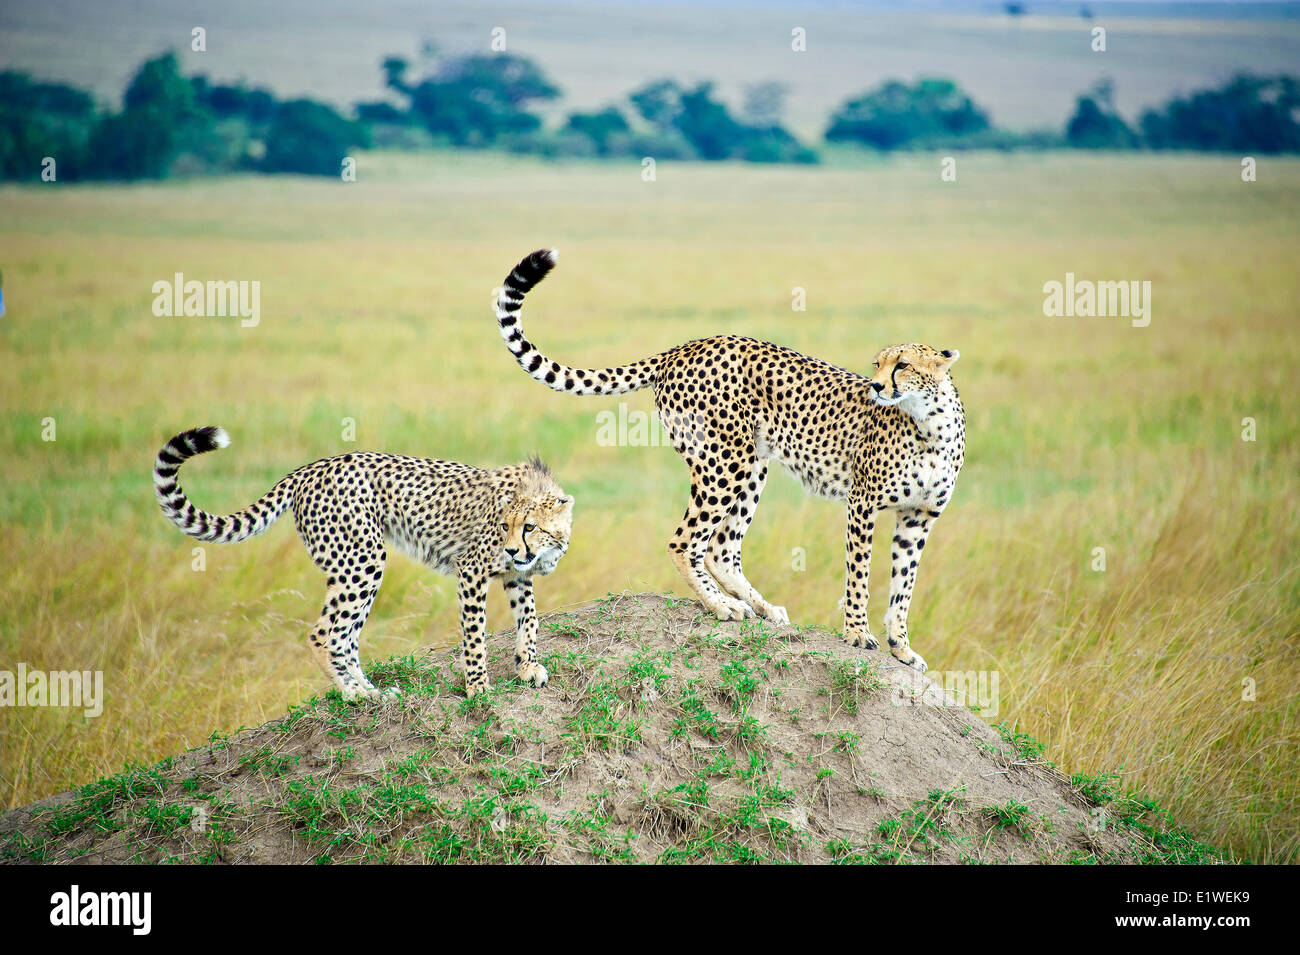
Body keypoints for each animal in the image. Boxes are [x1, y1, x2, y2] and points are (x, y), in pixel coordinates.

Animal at [150, 428, 569, 696]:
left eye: (529, 527)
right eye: (505, 525)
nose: (513, 550)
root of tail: (311, 468)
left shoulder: (518, 575)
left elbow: (529, 617)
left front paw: (527, 665)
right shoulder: (471, 570)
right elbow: (475, 634)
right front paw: (478, 686)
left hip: (354, 565)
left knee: (345, 636)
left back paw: (370, 690)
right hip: (363, 559)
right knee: (325, 634)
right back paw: (354, 694)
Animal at [496, 250, 967, 675]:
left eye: (902, 365)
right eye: (878, 363)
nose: (876, 385)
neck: (929, 424)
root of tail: (686, 346)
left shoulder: (918, 517)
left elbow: (903, 586)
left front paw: (901, 647)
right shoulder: (862, 504)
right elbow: (860, 573)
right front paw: (857, 633)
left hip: (752, 463)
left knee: (722, 547)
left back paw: (761, 607)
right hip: (726, 461)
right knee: (686, 541)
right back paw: (722, 606)